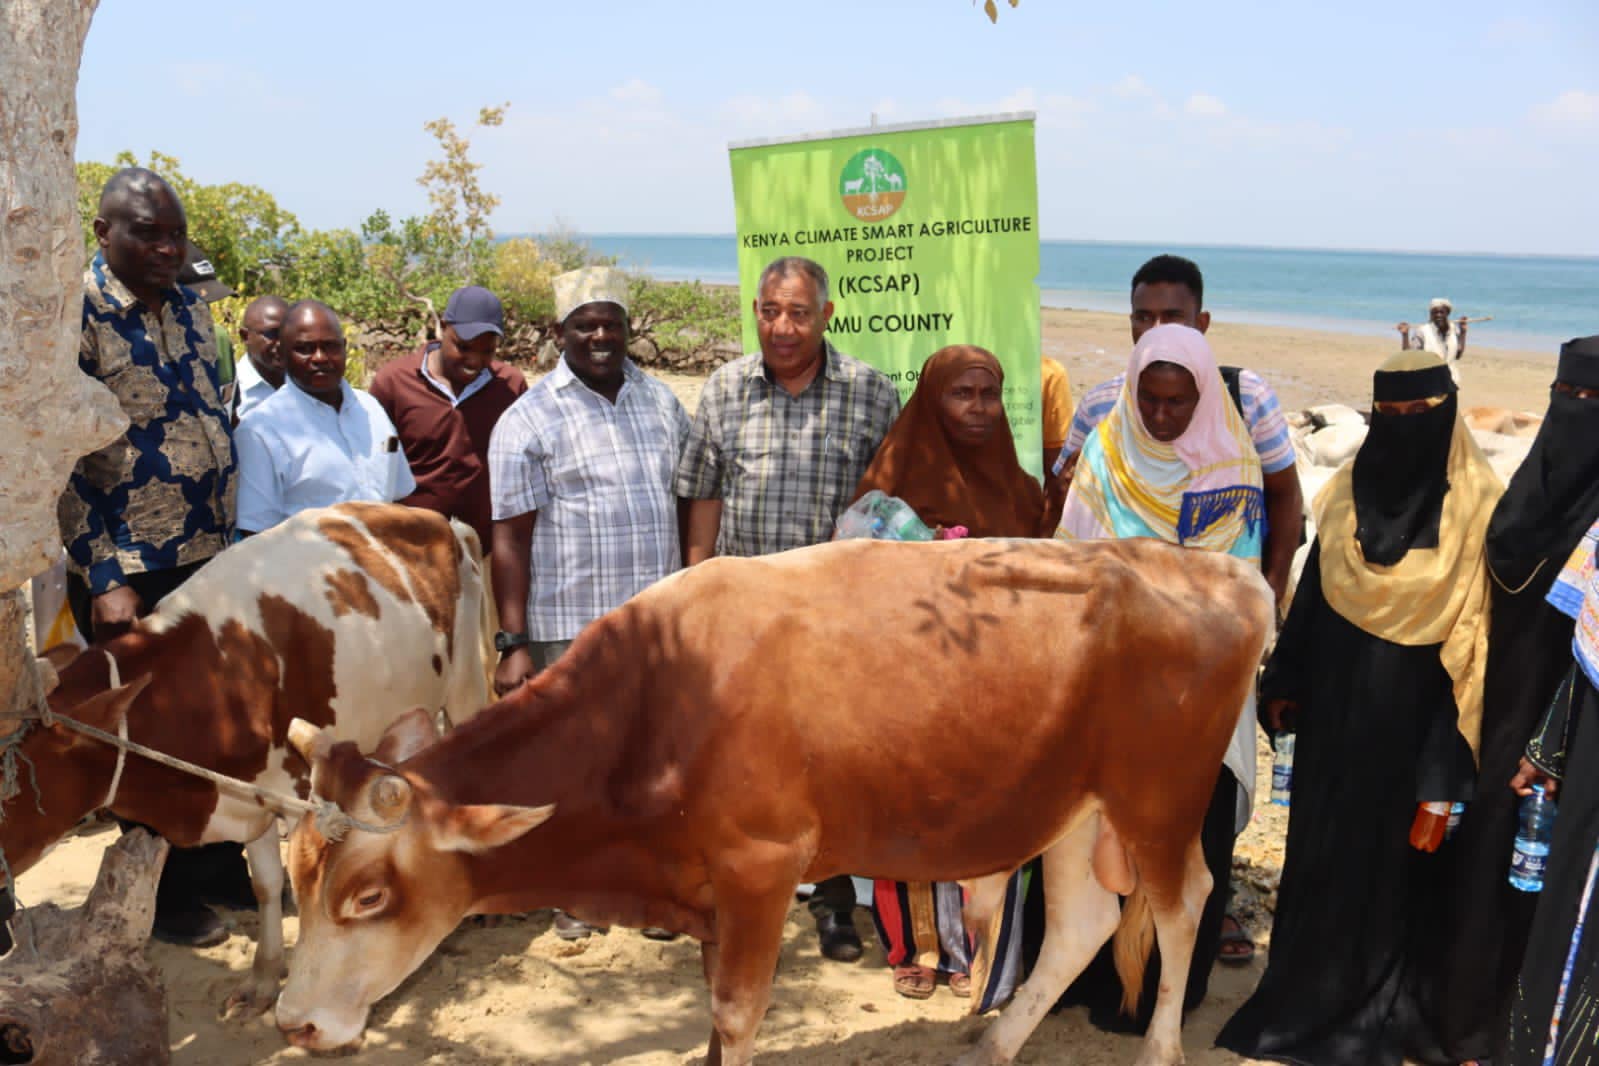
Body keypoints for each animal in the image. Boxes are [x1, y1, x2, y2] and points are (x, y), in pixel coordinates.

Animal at [3, 501, 489, 1016]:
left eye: (13, 778)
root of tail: (436, 518)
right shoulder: (251, 797)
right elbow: (266, 885)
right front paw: (263, 976)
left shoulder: (303, 792)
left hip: (465, 681)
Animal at [278, 536, 1272, 1061]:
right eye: (296, 880)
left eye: (368, 896)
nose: (291, 1021)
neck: (656, 701)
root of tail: (1216, 570)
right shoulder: (710, 889)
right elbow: (714, 1013)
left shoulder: (760, 868)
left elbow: (736, 1010)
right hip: (1074, 803)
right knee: (1084, 922)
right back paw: (997, 1042)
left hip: (1158, 796)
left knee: (1181, 905)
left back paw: (1160, 1046)